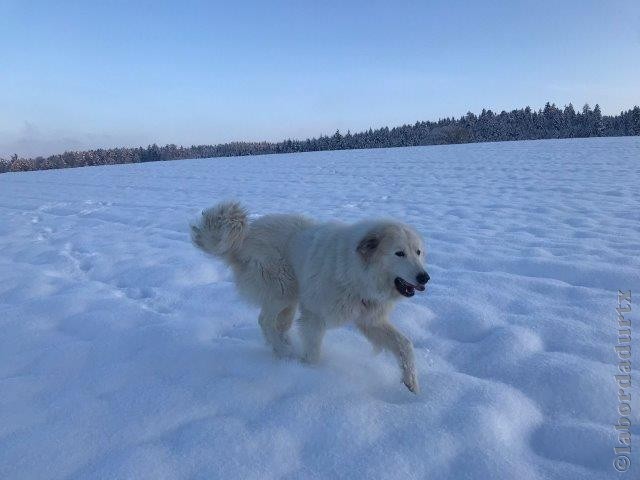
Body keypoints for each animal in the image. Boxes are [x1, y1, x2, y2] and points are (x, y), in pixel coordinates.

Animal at [190, 201, 430, 392]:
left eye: (418, 252)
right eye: (399, 253)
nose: (425, 277)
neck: (356, 273)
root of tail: (246, 236)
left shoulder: (371, 321)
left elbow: (405, 346)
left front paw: (412, 386)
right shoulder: (314, 317)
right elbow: (313, 354)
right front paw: (308, 374)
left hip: (289, 302)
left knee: (277, 325)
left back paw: (282, 348)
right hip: (283, 290)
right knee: (265, 320)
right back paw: (285, 352)